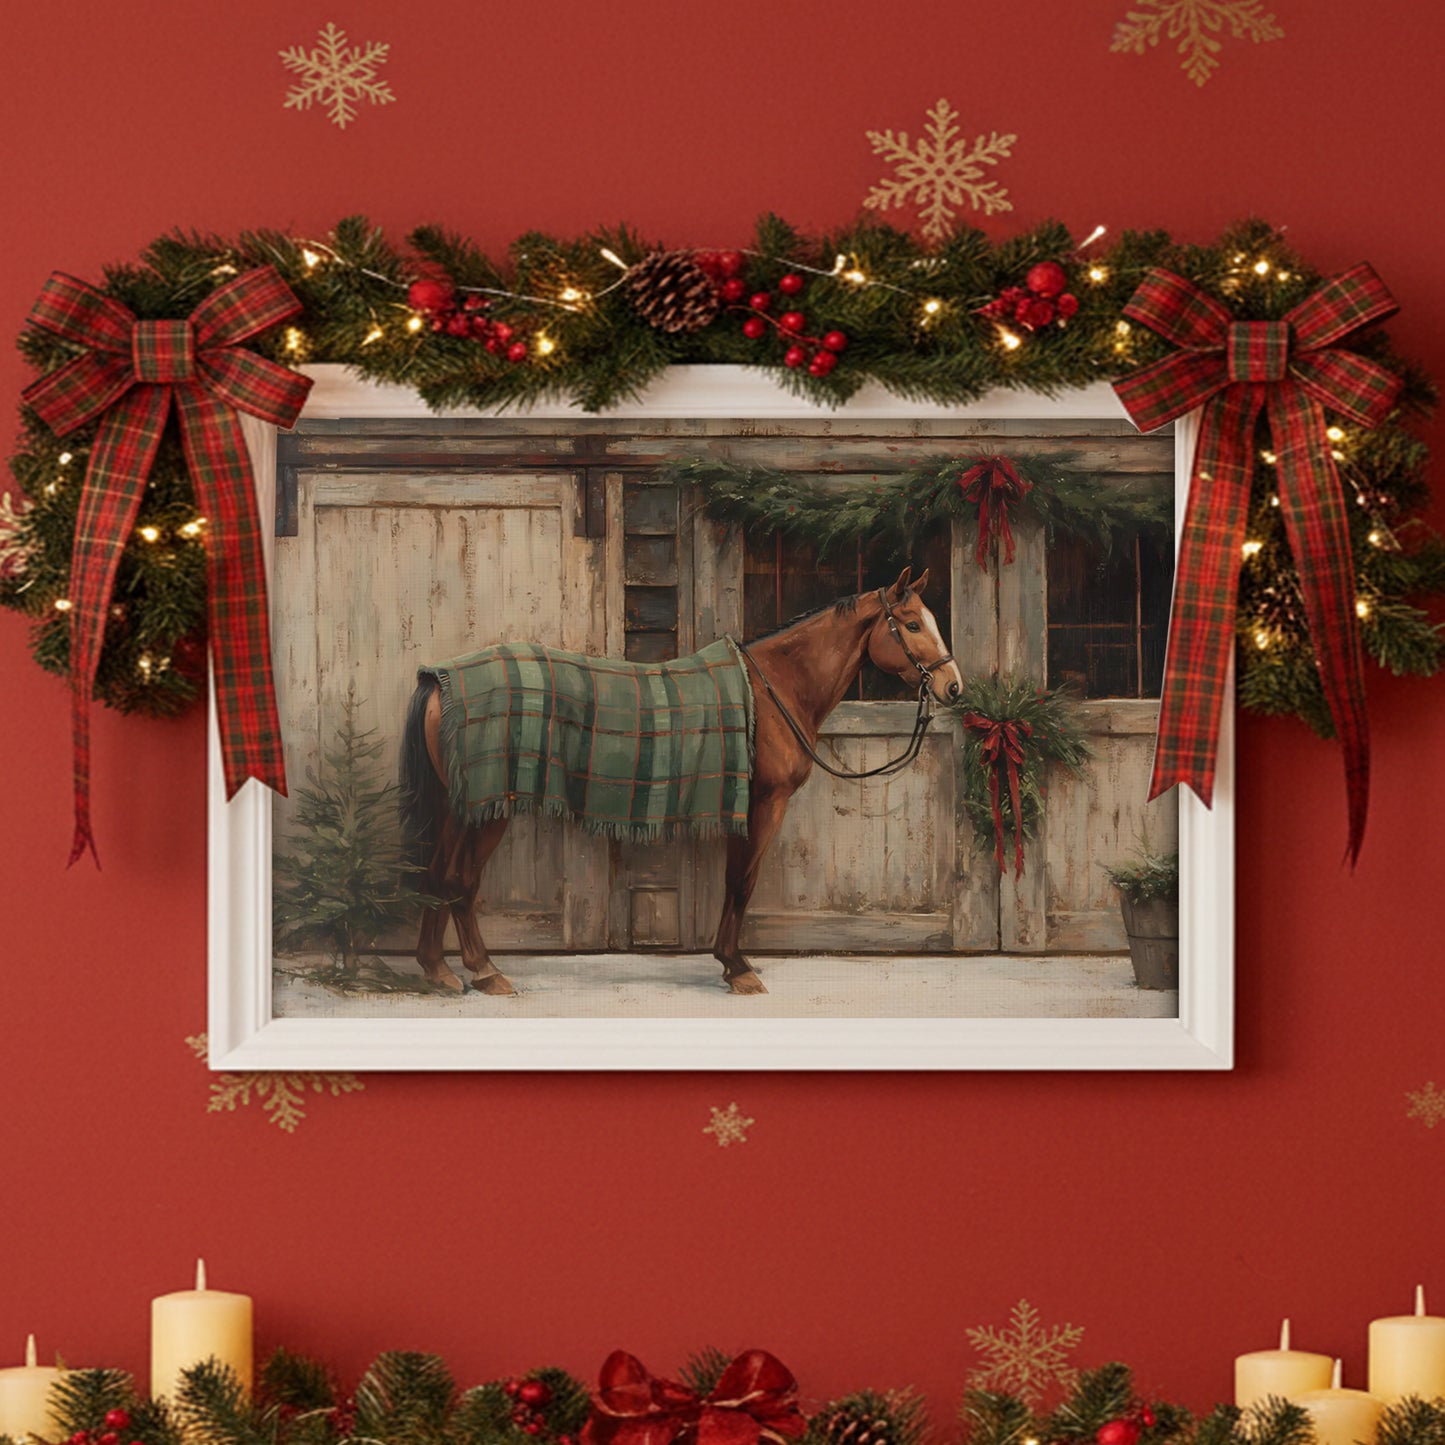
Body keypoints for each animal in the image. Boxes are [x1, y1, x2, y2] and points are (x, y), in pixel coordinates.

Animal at [398, 565, 962, 997]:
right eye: (913, 624)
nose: (953, 686)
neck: (770, 691)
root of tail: (439, 679)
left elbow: (738, 882)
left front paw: (731, 962)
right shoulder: (762, 804)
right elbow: (741, 881)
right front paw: (737, 969)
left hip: (459, 805)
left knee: (441, 876)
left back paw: (443, 970)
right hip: (481, 808)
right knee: (458, 880)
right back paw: (481, 972)